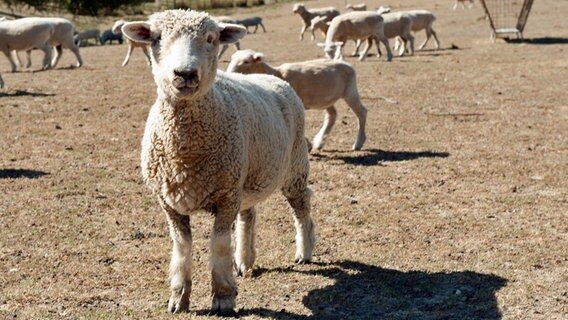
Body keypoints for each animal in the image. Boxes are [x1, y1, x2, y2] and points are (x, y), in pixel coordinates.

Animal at [121, 9, 316, 316]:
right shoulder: (170, 203)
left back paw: (304, 251)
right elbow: (182, 247)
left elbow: (220, 245)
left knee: (301, 205)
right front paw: (179, 298)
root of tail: (273, 79)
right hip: (245, 175)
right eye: (156, 38)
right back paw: (245, 260)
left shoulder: (225, 196)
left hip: (293, 166)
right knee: (249, 215)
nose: (185, 74)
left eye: (211, 39)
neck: (185, 153)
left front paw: (223, 298)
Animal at [226, 49, 368, 151]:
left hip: (350, 91)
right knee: (332, 115)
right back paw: (319, 141)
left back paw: (358, 143)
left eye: (246, 61)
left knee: (362, 112)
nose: (229, 72)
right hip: (326, 99)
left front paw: (307, 144)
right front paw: (309, 144)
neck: (276, 73)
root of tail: (347, 64)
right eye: (232, 59)